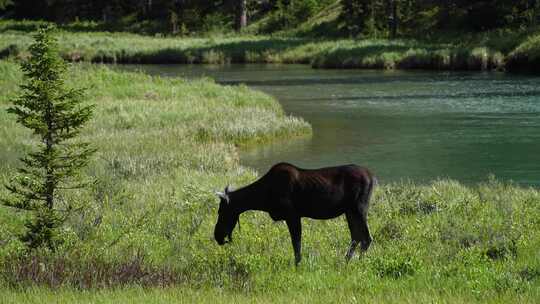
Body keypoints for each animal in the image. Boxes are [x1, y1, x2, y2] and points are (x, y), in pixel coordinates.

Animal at [212, 163, 376, 264]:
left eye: (221, 211)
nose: (217, 236)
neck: (263, 198)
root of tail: (372, 177)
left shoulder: (292, 215)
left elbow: (296, 245)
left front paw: (297, 267)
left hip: (359, 208)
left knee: (366, 238)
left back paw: (359, 263)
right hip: (349, 211)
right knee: (356, 236)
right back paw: (345, 262)